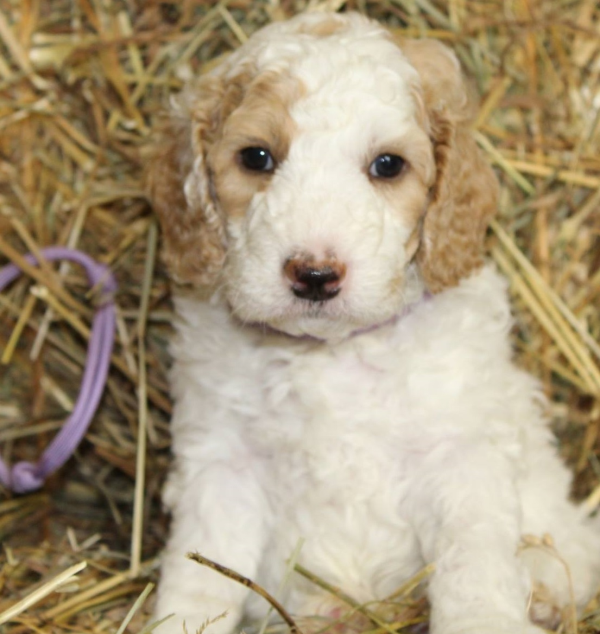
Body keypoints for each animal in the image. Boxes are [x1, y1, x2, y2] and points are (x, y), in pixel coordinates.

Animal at [148, 12, 600, 632]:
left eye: (388, 165)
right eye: (256, 157)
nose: (314, 275)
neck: (331, 353)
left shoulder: (461, 456)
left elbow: (473, 568)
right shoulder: (221, 461)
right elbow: (200, 573)